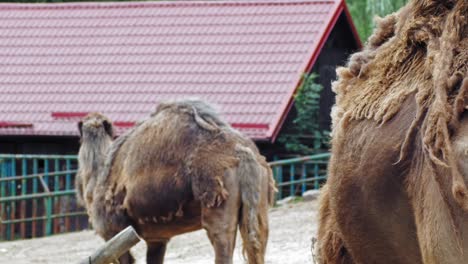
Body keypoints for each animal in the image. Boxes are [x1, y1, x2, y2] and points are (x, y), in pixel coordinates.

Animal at [75, 99, 276, 264]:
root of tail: (244, 153)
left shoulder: (114, 231)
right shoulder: (157, 238)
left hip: (218, 193)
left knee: (222, 239)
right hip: (260, 201)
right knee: (259, 240)